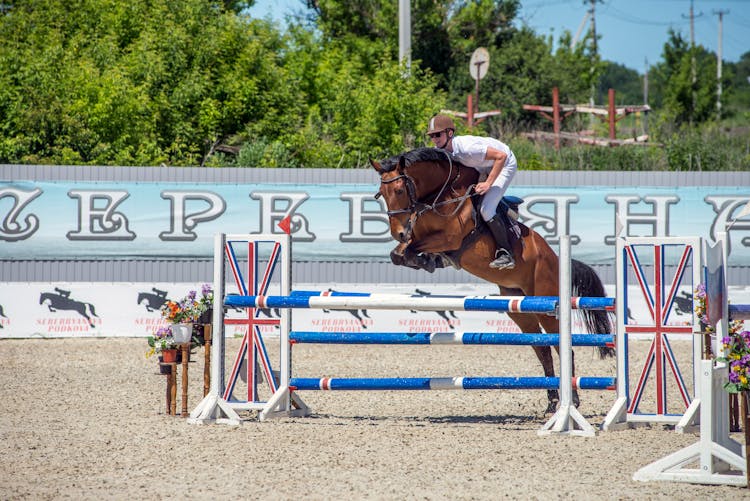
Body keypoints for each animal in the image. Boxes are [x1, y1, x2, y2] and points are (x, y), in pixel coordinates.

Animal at [372, 146, 616, 412]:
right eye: (381, 194)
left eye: (399, 190)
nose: (398, 232)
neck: (439, 196)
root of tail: (556, 259)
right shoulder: (416, 236)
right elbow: (400, 253)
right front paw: (427, 260)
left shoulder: (450, 238)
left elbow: (411, 249)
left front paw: (426, 259)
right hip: (518, 308)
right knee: (541, 348)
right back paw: (552, 402)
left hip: (545, 304)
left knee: (561, 347)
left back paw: (572, 400)